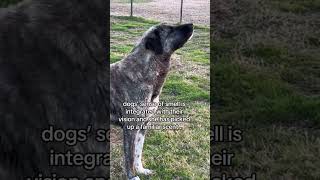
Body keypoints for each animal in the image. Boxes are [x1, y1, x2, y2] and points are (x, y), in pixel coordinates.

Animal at [111, 23, 194, 180]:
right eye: (170, 30)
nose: (192, 24)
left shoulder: (144, 125)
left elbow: (138, 152)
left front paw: (141, 170)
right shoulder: (130, 129)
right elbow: (129, 157)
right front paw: (132, 176)